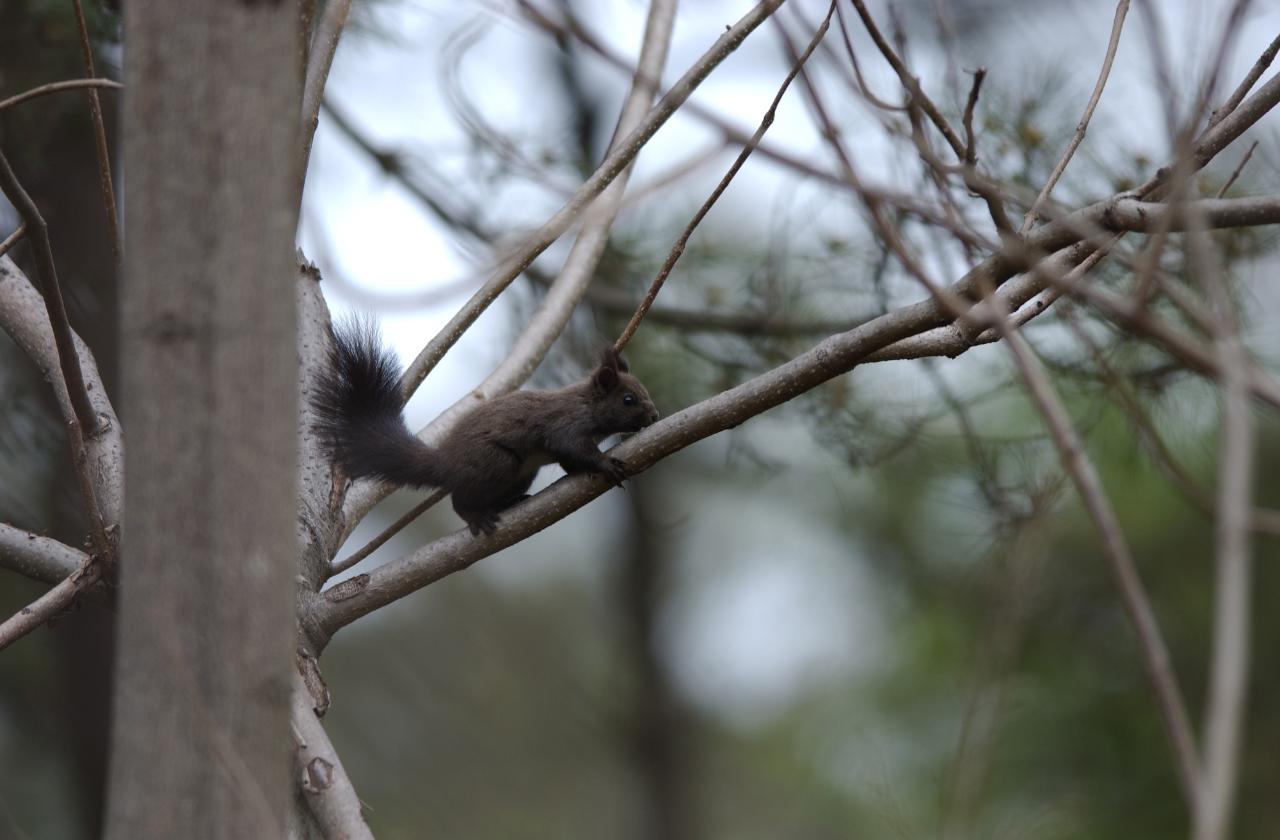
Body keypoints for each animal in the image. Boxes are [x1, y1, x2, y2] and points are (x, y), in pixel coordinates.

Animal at [311, 318, 660, 535]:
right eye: (628, 400)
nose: (655, 416)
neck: (587, 405)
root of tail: (445, 463)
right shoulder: (566, 424)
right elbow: (572, 447)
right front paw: (606, 463)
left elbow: (569, 461)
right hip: (497, 462)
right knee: (459, 499)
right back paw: (475, 516)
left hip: (523, 473)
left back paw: (509, 502)